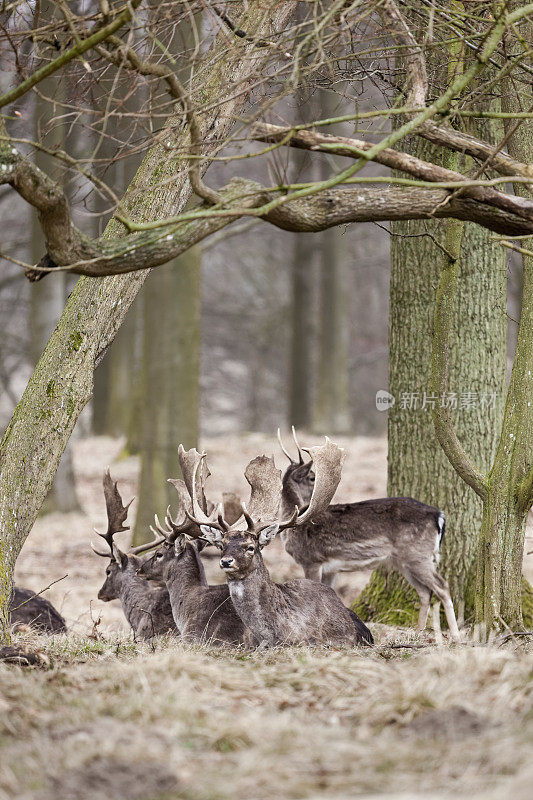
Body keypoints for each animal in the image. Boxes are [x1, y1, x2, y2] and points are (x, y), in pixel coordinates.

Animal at [276, 428, 460, 640]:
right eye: (311, 477)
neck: (293, 525)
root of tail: (439, 515)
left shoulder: (311, 560)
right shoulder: (330, 568)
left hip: (418, 554)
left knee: (442, 587)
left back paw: (456, 635)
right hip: (405, 561)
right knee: (424, 592)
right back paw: (418, 632)